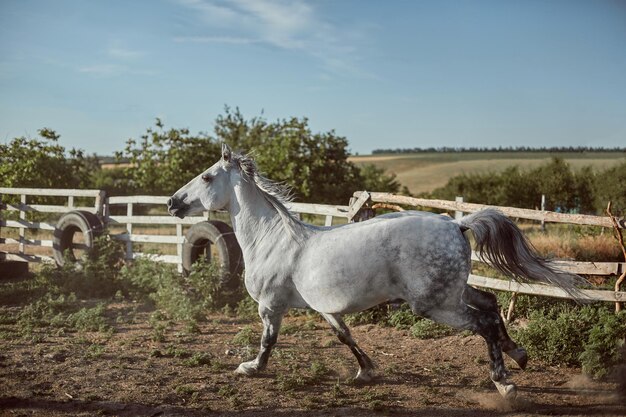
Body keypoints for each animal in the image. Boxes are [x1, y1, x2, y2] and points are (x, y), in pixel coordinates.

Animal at [168, 144, 584, 400]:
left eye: (206, 177)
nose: (173, 202)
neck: (272, 240)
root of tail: (457, 224)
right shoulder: (325, 309)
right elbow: (346, 337)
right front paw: (365, 372)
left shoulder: (270, 306)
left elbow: (268, 340)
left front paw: (251, 368)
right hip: (455, 292)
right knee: (492, 305)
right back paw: (520, 355)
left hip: (435, 305)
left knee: (483, 323)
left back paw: (503, 384)